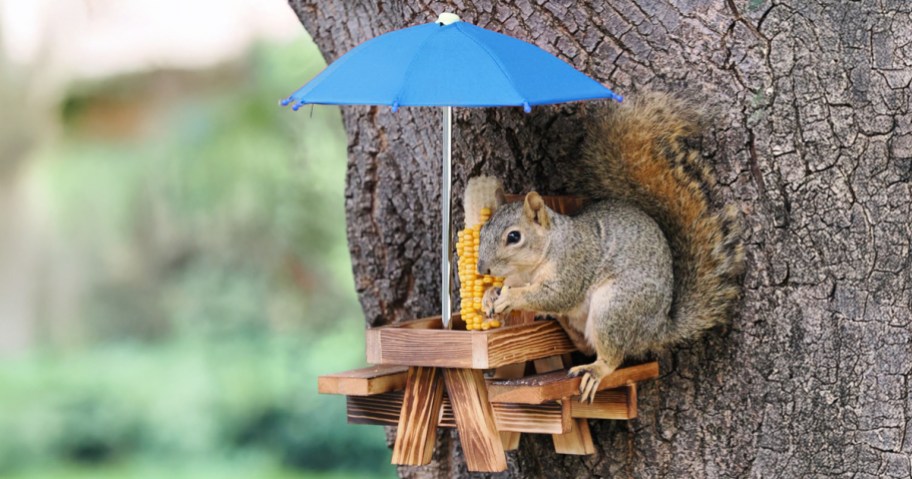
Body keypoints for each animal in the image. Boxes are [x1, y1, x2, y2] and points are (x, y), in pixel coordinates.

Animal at [478, 92, 745, 403]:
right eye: (483, 230)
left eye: (513, 237)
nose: (482, 268)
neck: (533, 264)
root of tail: (658, 329)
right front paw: (489, 296)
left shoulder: (573, 264)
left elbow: (556, 294)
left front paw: (511, 297)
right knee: (584, 343)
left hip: (616, 307)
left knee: (611, 356)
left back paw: (595, 370)